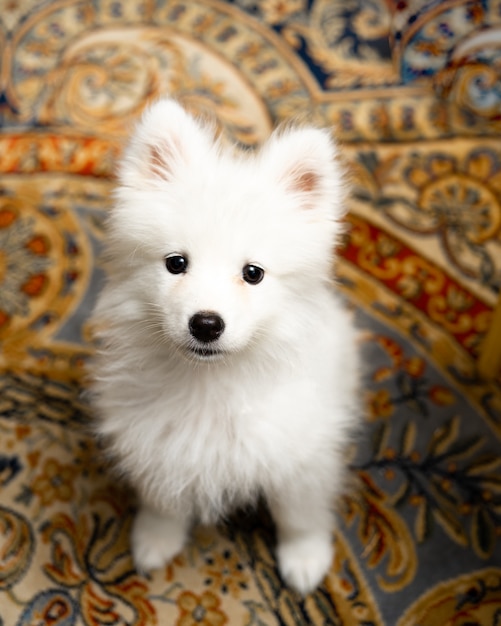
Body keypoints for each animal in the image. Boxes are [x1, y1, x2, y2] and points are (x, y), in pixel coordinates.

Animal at [90, 100, 362, 592]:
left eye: (253, 273)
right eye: (175, 263)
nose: (206, 324)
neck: (211, 383)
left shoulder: (303, 454)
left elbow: (300, 514)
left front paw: (306, 558)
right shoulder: (158, 444)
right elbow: (163, 502)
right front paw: (155, 540)